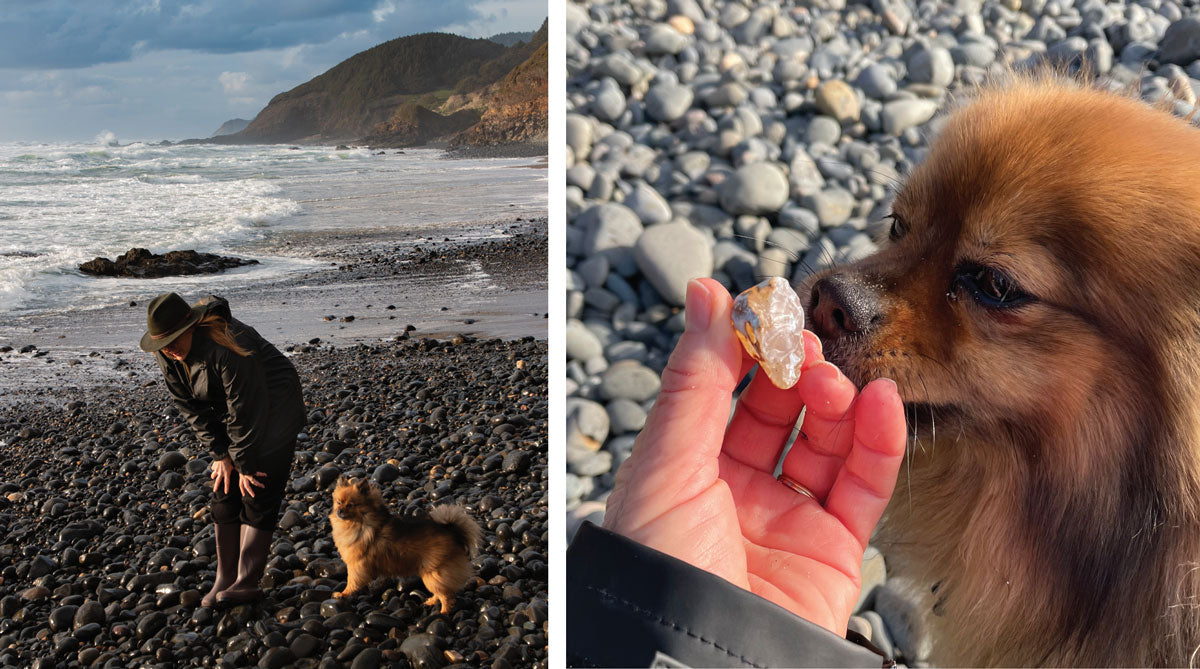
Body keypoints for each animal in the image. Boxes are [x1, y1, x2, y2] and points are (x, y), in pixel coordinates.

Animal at [328, 477, 482, 613]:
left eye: (350, 505)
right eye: (338, 502)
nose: (339, 511)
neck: (359, 523)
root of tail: (453, 532)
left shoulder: (356, 565)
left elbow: (351, 582)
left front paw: (343, 594)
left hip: (433, 573)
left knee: (446, 596)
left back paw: (443, 613)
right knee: (441, 592)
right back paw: (430, 602)